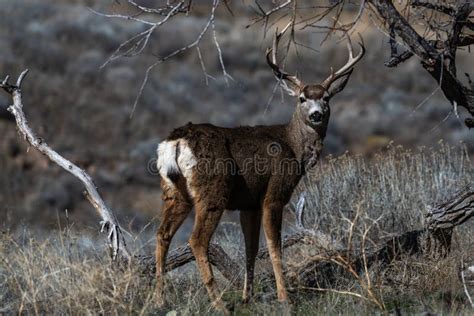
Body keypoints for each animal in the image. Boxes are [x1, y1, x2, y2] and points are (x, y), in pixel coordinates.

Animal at [154, 23, 364, 312]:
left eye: (327, 98)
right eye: (301, 98)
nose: (316, 115)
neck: (293, 147)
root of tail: (175, 141)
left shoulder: (249, 203)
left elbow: (250, 249)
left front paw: (247, 297)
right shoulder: (274, 193)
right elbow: (275, 247)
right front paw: (284, 297)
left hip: (174, 191)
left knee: (162, 234)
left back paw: (159, 299)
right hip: (213, 189)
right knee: (197, 240)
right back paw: (219, 304)